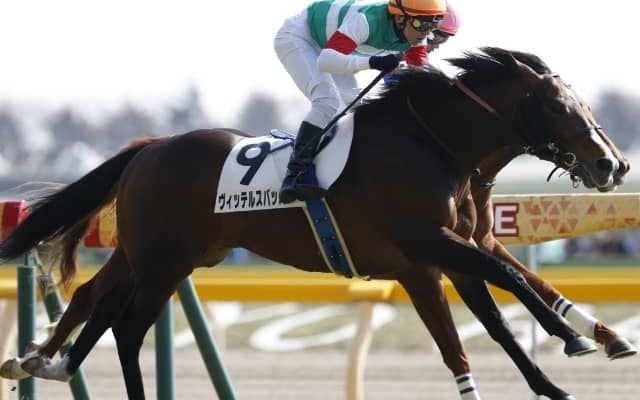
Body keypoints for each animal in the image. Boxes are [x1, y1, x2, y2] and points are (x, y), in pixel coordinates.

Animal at [0, 47, 629, 400]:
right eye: (557, 105)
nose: (611, 163)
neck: (430, 144)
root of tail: (149, 148)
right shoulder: (429, 247)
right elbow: (508, 291)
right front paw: (574, 337)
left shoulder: (445, 254)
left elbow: (496, 321)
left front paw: (565, 371)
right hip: (163, 263)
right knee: (127, 327)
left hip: (158, 254)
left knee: (94, 298)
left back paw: (43, 359)